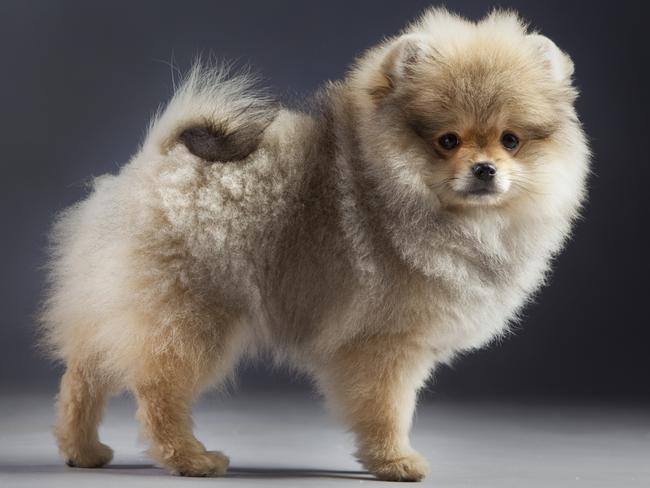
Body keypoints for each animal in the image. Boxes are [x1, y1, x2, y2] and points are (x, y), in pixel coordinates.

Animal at [39, 6, 588, 480]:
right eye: (447, 140)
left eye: (511, 140)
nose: (485, 169)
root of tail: (154, 162)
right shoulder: (384, 342)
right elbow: (388, 409)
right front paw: (395, 461)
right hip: (192, 316)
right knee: (157, 391)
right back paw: (191, 458)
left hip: (120, 306)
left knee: (83, 376)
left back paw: (83, 450)